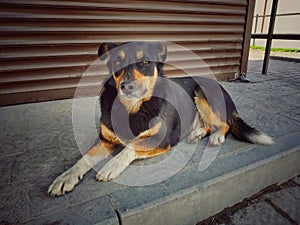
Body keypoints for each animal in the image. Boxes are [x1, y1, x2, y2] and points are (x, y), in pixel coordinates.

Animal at [48, 41, 274, 196]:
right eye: (117, 62)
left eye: (145, 62)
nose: (127, 87)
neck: (133, 108)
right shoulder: (106, 140)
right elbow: (84, 158)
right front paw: (66, 177)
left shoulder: (163, 138)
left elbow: (132, 146)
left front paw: (111, 166)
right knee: (209, 125)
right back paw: (197, 133)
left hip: (203, 92)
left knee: (224, 123)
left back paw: (216, 136)